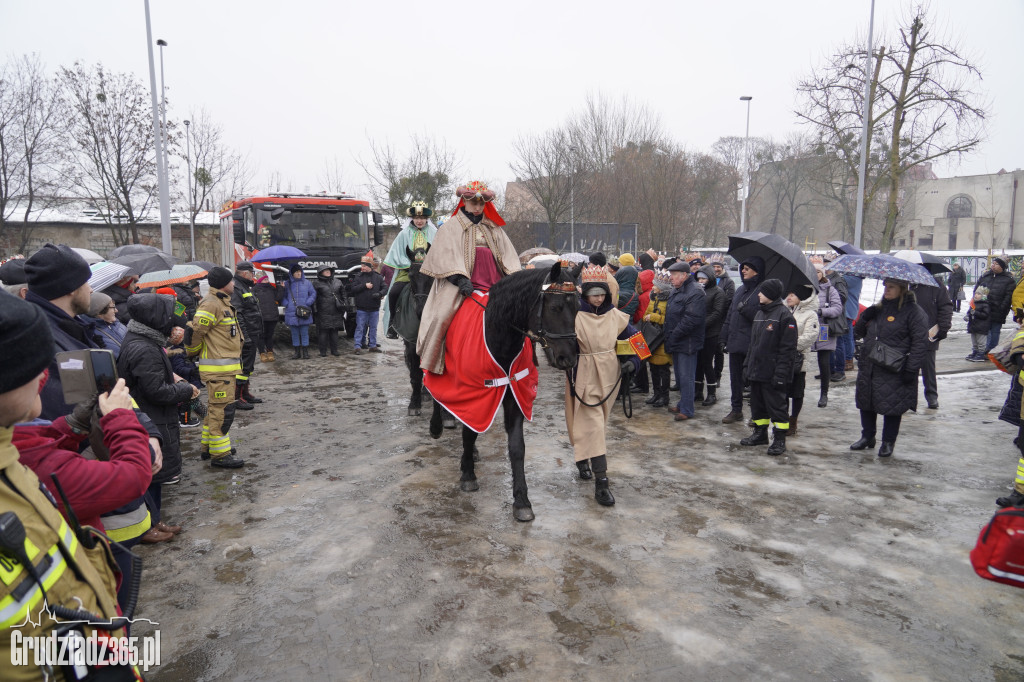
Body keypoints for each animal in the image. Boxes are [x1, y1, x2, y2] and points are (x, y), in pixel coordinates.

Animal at [428, 260, 581, 520]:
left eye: (579, 308)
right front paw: (468, 474)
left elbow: (517, 447)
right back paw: (437, 425)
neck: (498, 336)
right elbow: (469, 433)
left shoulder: (514, 393)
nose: (568, 358)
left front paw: (521, 500)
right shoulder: (473, 396)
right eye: (556, 307)